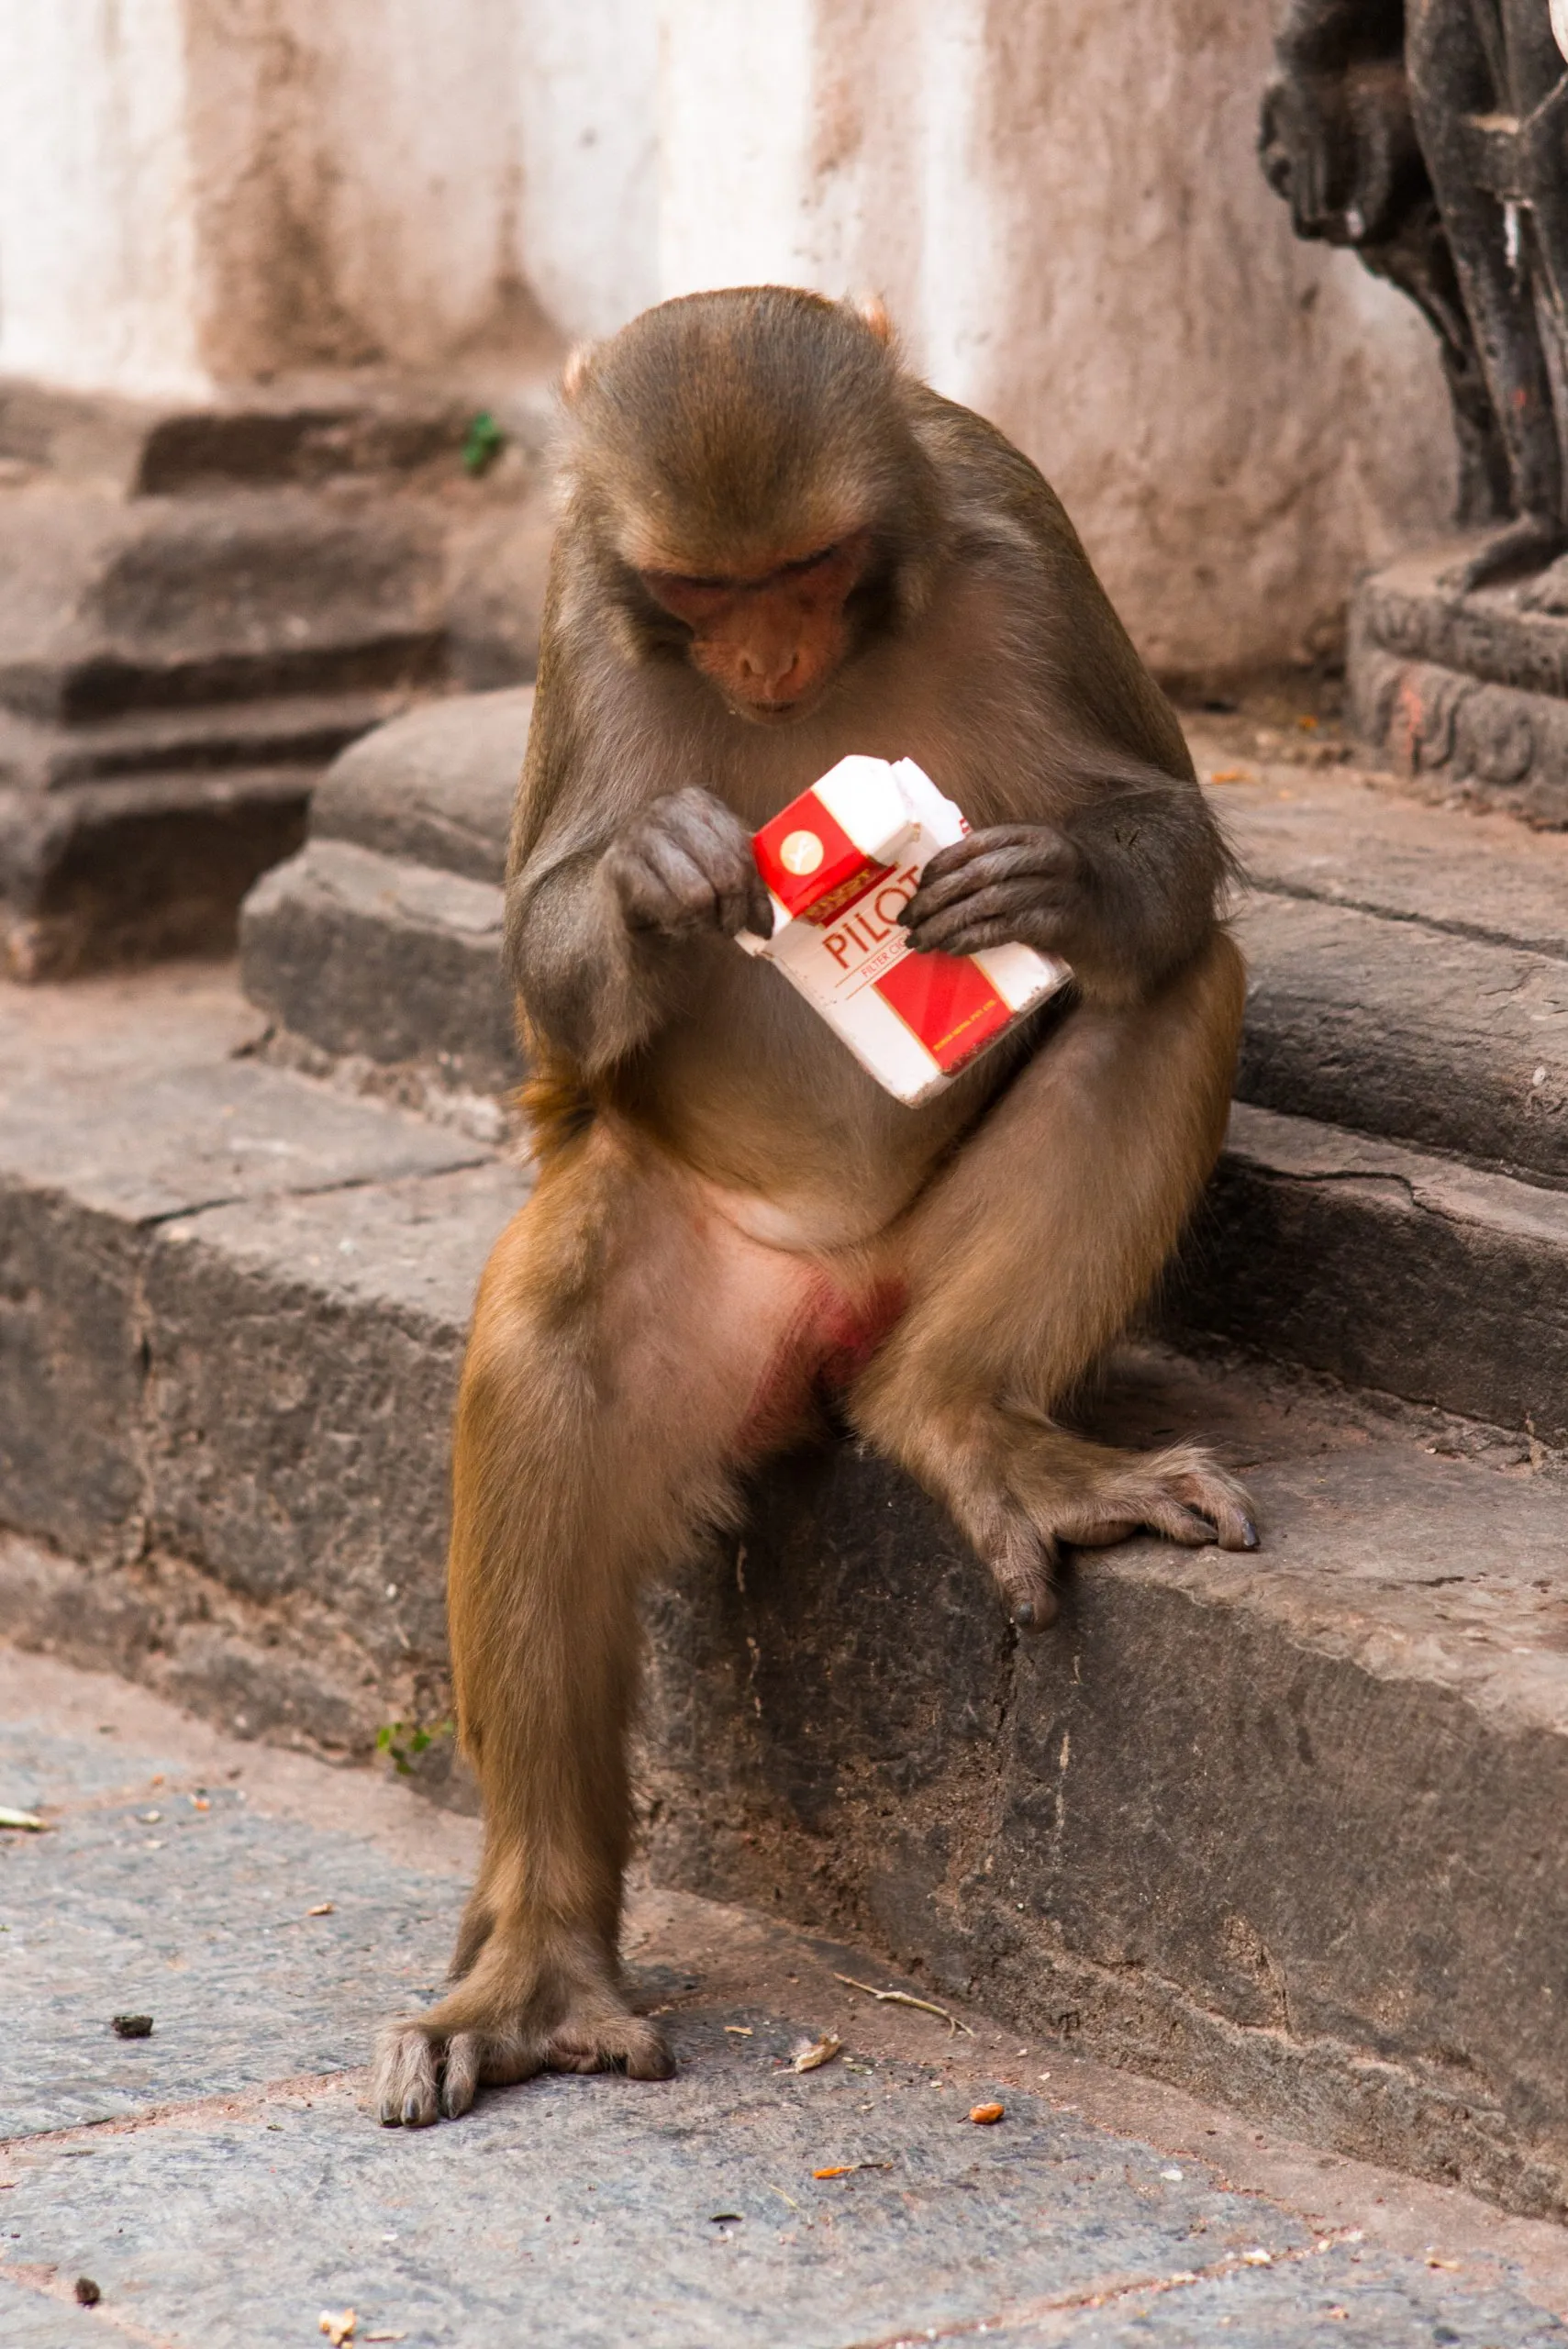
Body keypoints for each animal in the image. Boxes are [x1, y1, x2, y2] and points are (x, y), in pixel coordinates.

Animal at [373, 286, 1256, 2128]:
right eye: (705, 594)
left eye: (810, 566)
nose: (771, 663)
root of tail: (841, 1311)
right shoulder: (578, 608)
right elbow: (545, 962)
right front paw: (651, 889)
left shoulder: (1013, 518)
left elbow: (1161, 829)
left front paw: (1057, 879)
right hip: (716, 1274)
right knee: (554, 1358)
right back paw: (539, 1961)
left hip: (927, 1279)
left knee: (1173, 982)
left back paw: (964, 1415)